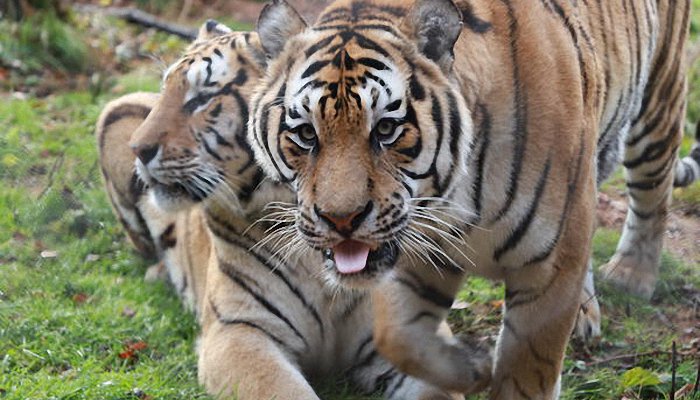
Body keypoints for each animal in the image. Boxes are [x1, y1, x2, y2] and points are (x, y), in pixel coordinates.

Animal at [249, 0, 696, 398]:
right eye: (306, 134)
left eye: (387, 129)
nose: (340, 221)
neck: (452, 202)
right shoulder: (413, 260)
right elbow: (399, 338)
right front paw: (472, 367)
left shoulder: (548, 267)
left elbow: (525, 377)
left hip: (658, 103)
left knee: (654, 193)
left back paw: (631, 275)